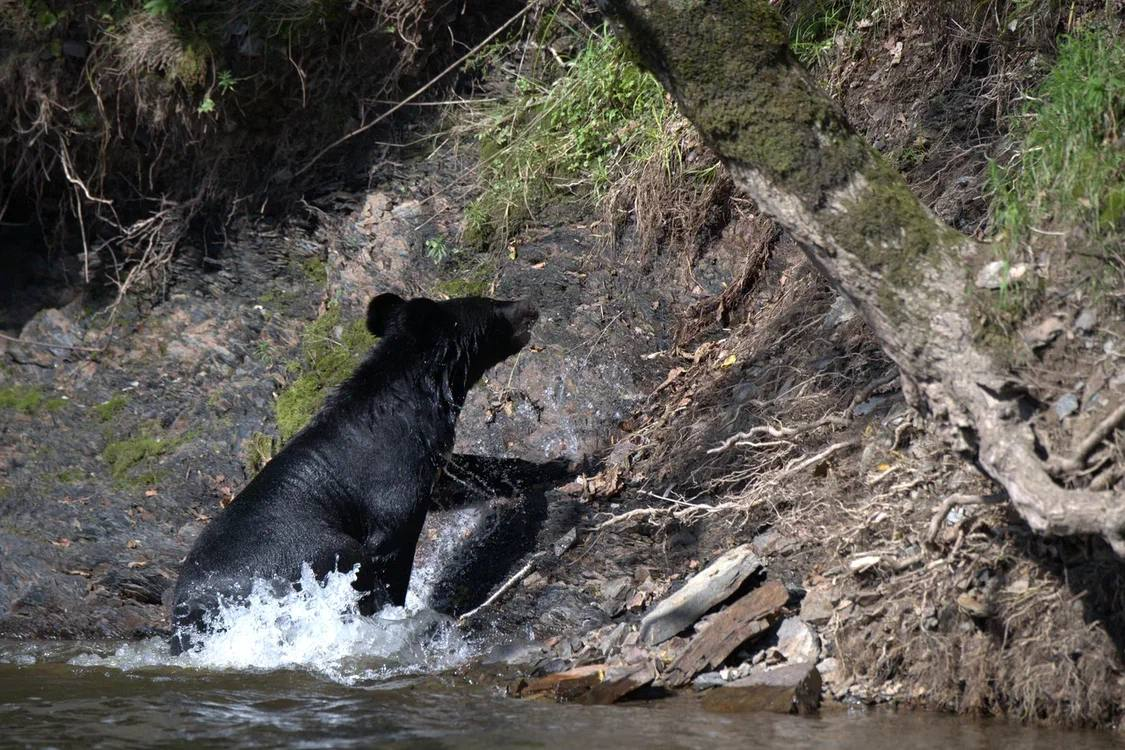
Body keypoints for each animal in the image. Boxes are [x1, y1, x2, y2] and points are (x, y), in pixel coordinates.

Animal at [168, 292, 537, 652]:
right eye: (491, 305)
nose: (529, 307)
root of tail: (190, 618)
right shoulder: (390, 476)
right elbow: (392, 541)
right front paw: (397, 614)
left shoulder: (427, 461)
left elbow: (450, 482)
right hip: (305, 554)